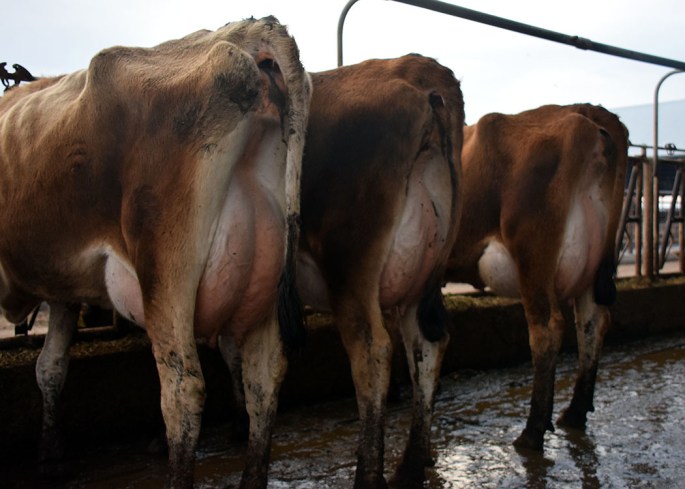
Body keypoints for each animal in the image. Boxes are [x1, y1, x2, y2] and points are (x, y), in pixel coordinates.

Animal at [0, 16, 311, 489]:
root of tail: (250, 32)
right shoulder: (64, 288)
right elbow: (50, 367)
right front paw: (51, 450)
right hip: (264, 280)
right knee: (264, 378)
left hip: (166, 268)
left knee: (183, 390)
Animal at [223, 54, 464, 488]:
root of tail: (422, 72)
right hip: (421, 279)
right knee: (426, 344)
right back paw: (411, 465)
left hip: (350, 264)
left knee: (372, 349)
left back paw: (370, 475)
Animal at [444, 104, 629, 451]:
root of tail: (587, 112)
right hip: (590, 267)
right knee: (592, 323)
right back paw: (574, 413)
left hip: (533, 254)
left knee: (547, 330)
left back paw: (532, 432)